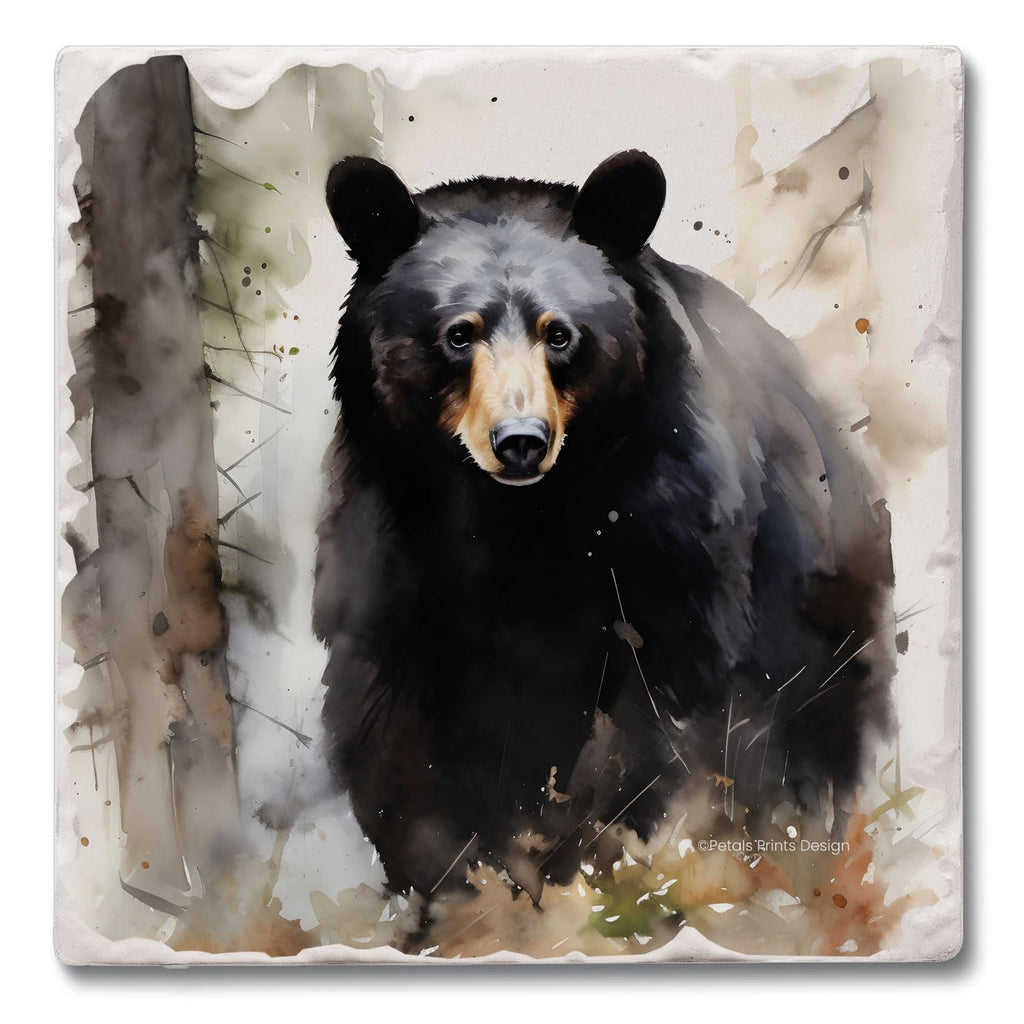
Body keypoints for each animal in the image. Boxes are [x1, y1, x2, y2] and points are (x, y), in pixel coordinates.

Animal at [313, 151, 894, 903]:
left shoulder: (668, 522)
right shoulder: (390, 533)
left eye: (559, 333)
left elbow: (667, 704)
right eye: (458, 334)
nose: (520, 441)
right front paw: (454, 883)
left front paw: (598, 865)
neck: (517, 517)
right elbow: (397, 716)